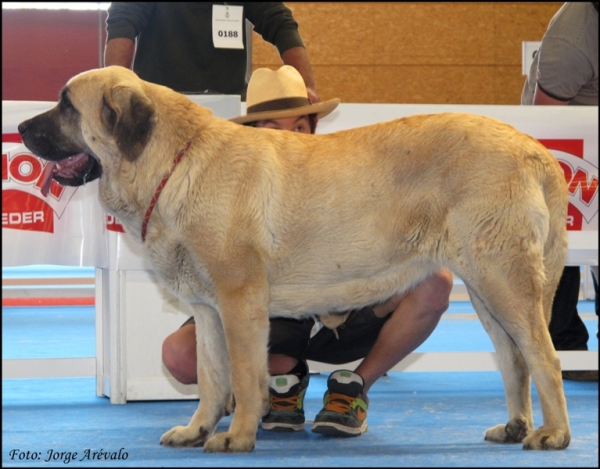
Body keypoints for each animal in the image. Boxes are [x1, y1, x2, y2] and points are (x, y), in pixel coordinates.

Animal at [18, 67, 568, 452]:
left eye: (66, 105)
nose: (21, 125)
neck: (174, 162)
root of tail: (534, 150)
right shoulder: (208, 311)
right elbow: (212, 379)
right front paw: (197, 430)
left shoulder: (240, 302)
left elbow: (243, 376)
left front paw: (236, 437)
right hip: (485, 290)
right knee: (513, 360)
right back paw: (516, 426)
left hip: (504, 280)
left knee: (544, 356)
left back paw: (553, 434)